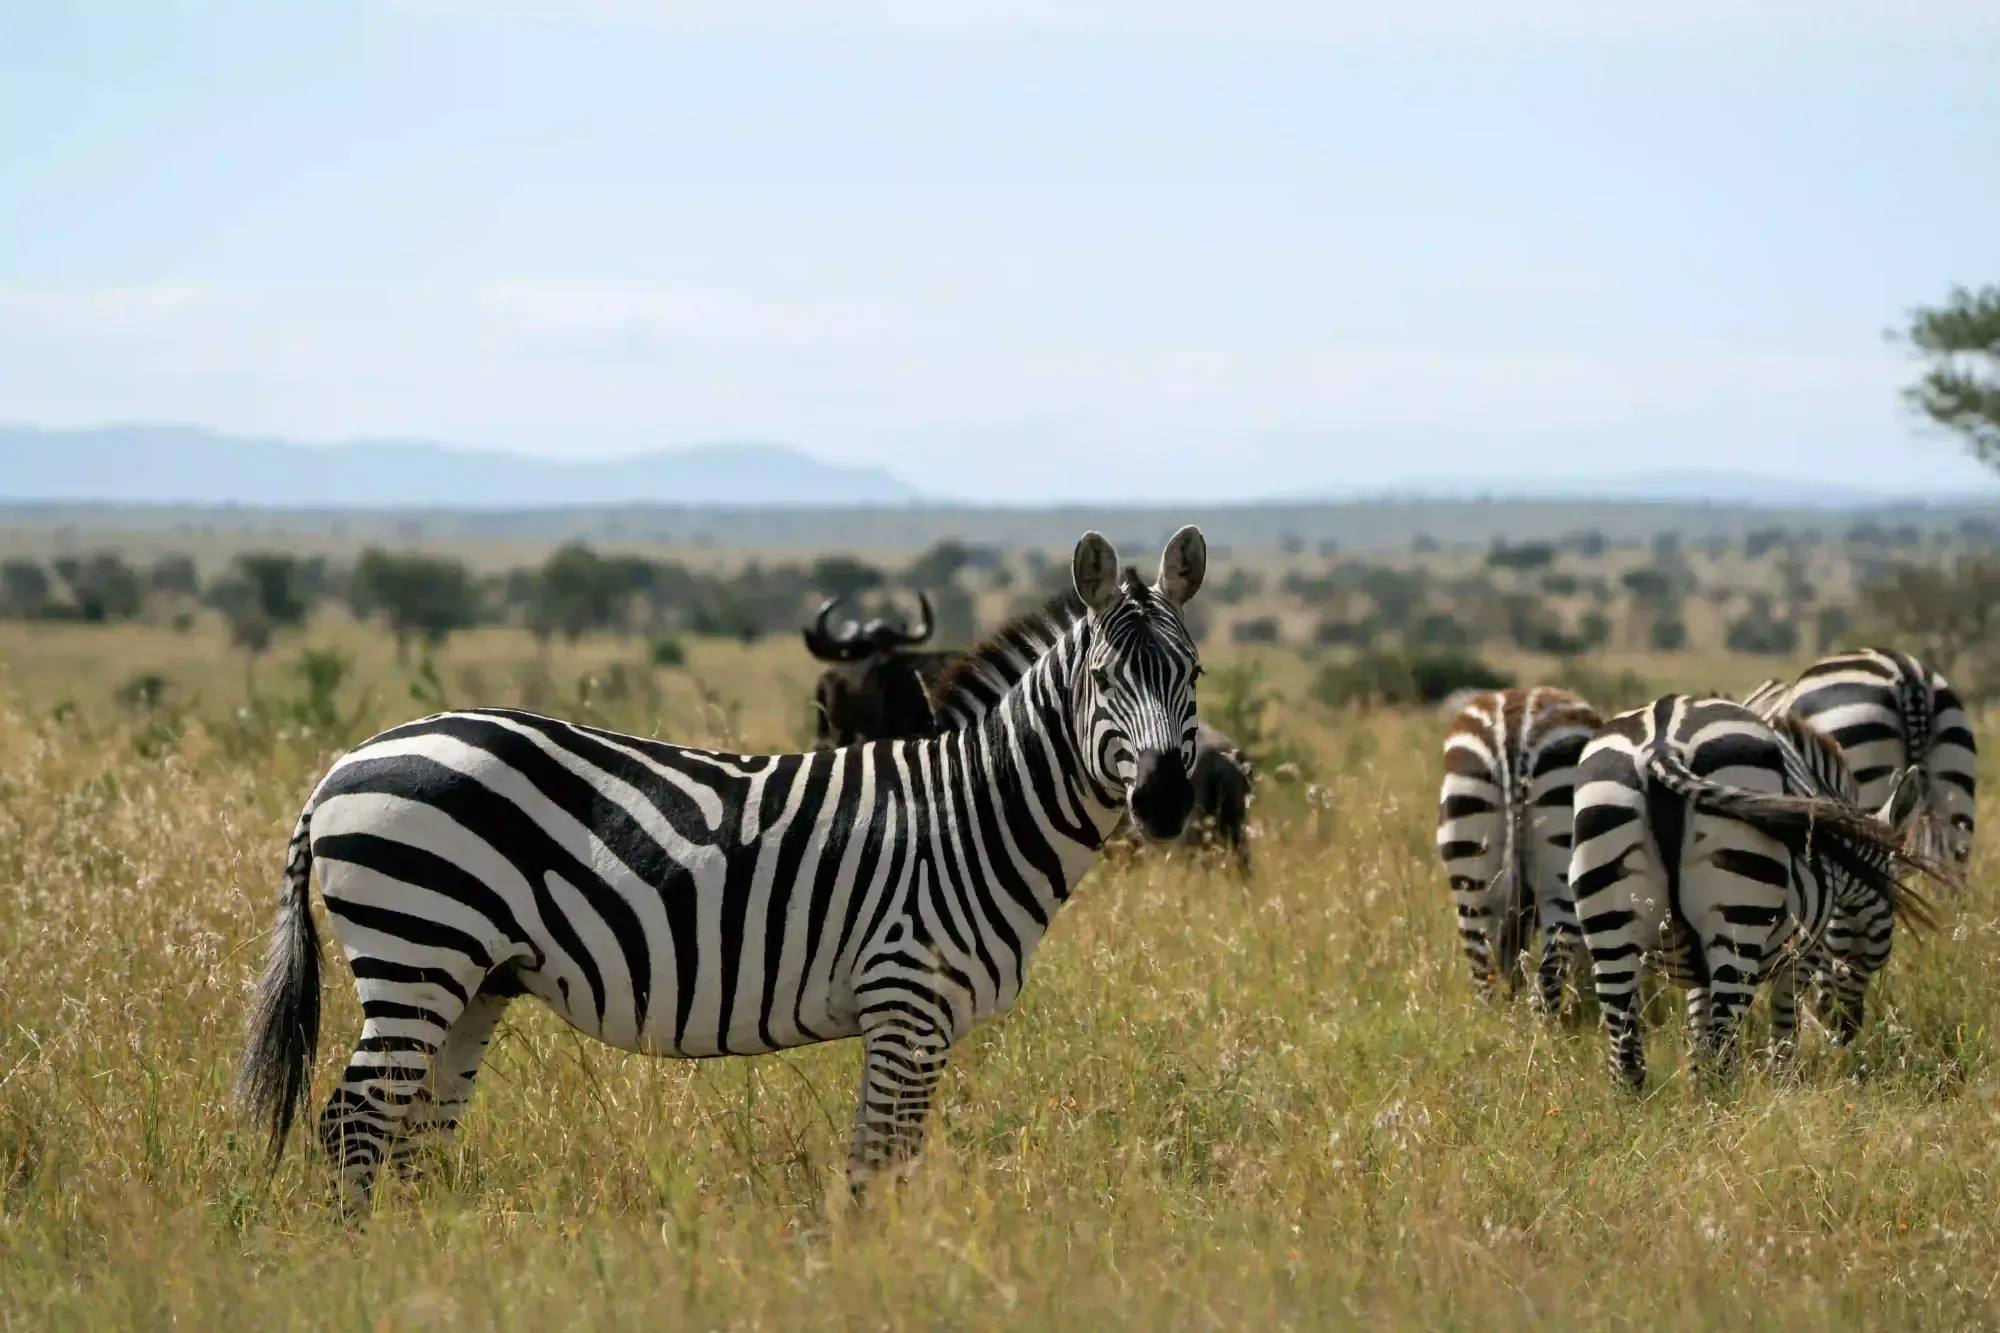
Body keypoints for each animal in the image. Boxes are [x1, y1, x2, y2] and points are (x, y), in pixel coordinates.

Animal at [237, 527, 1208, 1209]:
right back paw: (362, 1262)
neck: (974, 814)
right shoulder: (907, 1003)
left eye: (1193, 673)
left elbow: (888, 1162)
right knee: (354, 1121)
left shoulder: (916, 1018)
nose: (1165, 800)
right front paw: (876, 1269)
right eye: (1104, 676)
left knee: (414, 1130)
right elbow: (877, 1166)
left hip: (473, 976)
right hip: (418, 946)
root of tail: (341, 766)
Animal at [1434, 687, 1603, 1012]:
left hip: (1469, 854)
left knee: (1483, 970)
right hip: (1560, 873)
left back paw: (1495, 1023)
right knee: (1548, 977)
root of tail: (1512, 733)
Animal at [1567, 695, 1938, 1089]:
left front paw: (1696, 1087)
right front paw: (1783, 1087)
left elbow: (1698, 1036)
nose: (1845, 1029)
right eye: (1888, 917)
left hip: (1608, 905)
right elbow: (1784, 1031)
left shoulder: (1698, 965)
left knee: (1625, 1053)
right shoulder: (1802, 952)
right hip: (1740, 909)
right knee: (1723, 1048)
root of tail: (1661, 746)